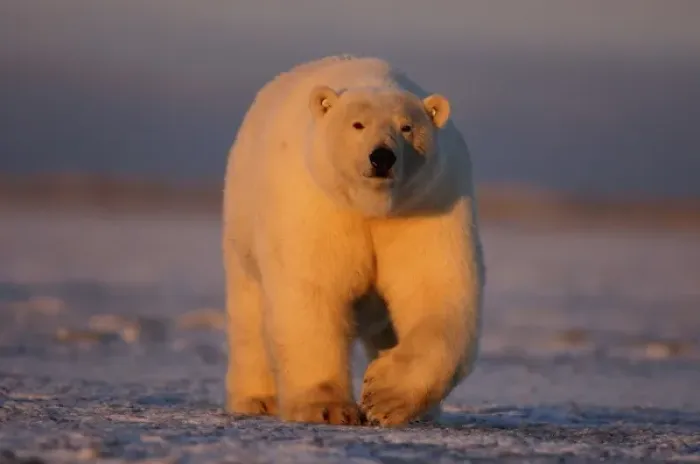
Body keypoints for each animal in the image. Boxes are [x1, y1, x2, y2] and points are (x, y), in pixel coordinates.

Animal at [222, 55, 485, 427]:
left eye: (407, 127)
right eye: (357, 124)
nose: (382, 157)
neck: (372, 207)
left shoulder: (427, 204)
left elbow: (435, 290)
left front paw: (384, 396)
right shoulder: (316, 204)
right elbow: (312, 292)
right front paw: (327, 409)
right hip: (242, 231)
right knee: (250, 316)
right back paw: (257, 399)